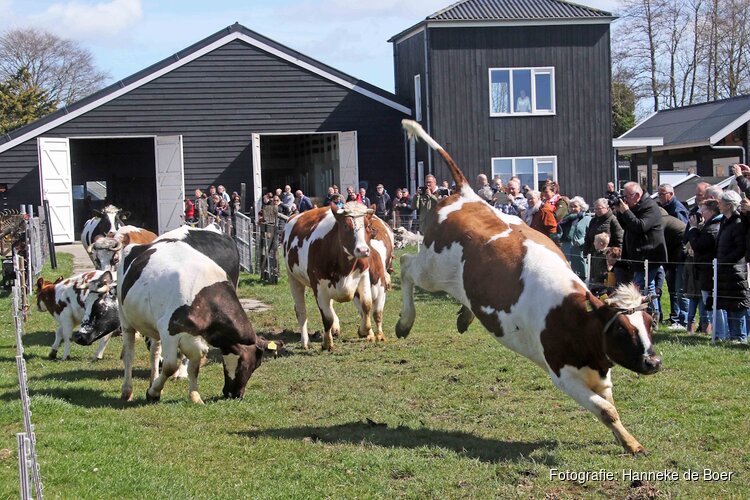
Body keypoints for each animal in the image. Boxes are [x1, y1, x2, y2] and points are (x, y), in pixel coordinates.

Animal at [73, 226, 271, 403]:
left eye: (257, 365)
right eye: (247, 364)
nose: (236, 394)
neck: (202, 297)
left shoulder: (195, 338)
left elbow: (194, 365)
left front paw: (194, 395)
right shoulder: (169, 331)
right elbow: (169, 366)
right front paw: (153, 393)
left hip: (152, 325)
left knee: (154, 352)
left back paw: (152, 379)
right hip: (127, 320)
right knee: (129, 354)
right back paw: (127, 391)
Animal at [283, 202, 393, 350]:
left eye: (368, 226)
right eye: (346, 226)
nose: (363, 250)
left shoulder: (363, 277)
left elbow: (367, 305)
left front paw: (366, 331)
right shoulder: (319, 286)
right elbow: (327, 317)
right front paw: (327, 342)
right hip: (293, 278)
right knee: (301, 310)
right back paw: (305, 342)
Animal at [395, 120, 662, 455]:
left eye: (650, 324)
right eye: (622, 330)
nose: (654, 361)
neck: (577, 318)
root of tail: (466, 194)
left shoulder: (600, 371)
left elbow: (610, 407)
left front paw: (628, 440)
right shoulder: (562, 374)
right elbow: (606, 409)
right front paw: (630, 442)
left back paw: (465, 316)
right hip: (432, 268)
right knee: (405, 265)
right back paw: (405, 321)